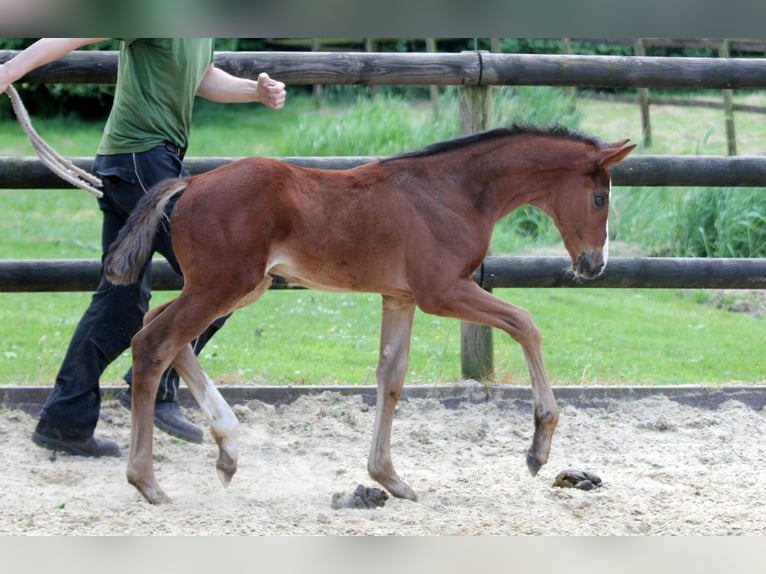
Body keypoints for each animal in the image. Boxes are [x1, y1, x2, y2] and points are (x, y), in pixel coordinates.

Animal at [105, 125, 632, 504]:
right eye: (600, 197)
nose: (594, 265)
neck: (454, 192)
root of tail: (190, 181)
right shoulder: (442, 291)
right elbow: (526, 323)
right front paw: (539, 446)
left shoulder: (400, 297)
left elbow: (391, 375)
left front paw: (388, 478)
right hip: (223, 285)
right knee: (154, 344)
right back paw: (147, 481)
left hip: (237, 287)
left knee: (156, 327)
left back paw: (227, 451)